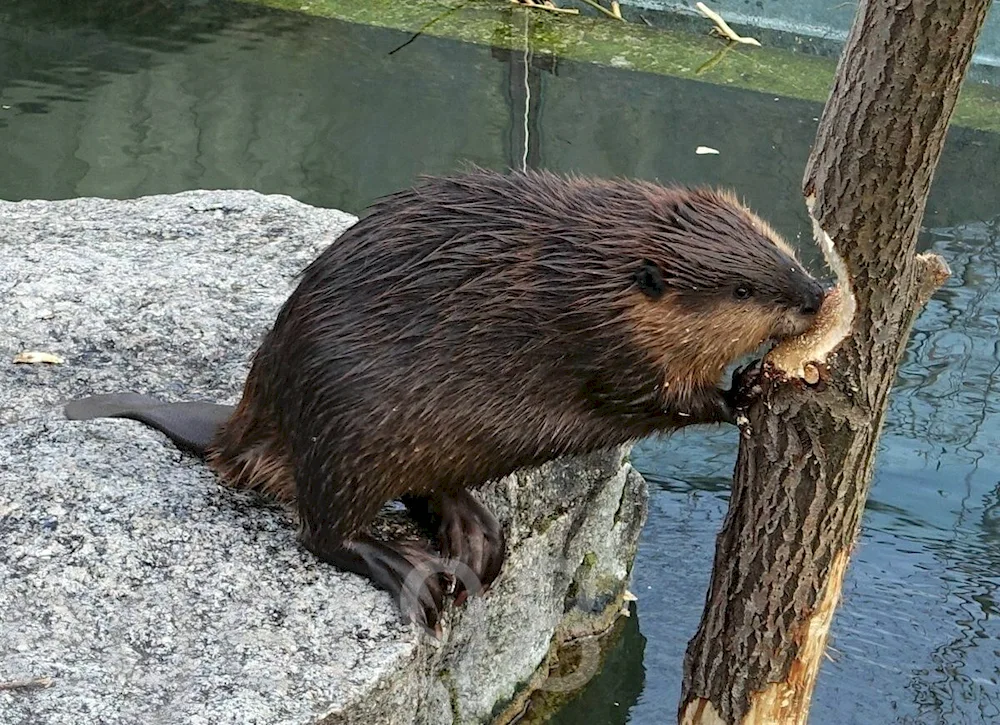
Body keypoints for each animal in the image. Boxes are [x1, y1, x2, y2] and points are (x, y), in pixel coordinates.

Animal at [66, 167, 824, 632]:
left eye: (779, 248)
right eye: (742, 289)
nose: (816, 294)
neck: (584, 272)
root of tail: (240, 427)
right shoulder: (595, 337)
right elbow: (649, 393)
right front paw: (744, 390)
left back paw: (477, 538)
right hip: (347, 432)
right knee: (323, 530)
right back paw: (414, 571)